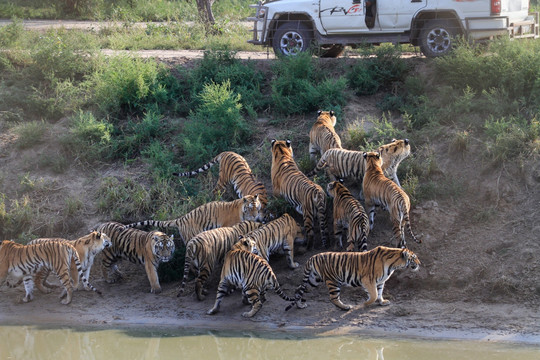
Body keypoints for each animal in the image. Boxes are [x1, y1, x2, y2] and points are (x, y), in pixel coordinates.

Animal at [124, 195, 264, 246]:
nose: (255, 216)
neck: (241, 209)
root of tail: (180, 219)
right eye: (250, 208)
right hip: (191, 235)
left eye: (257, 207)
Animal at [286, 246, 422, 310]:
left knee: (299, 289)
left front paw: (382, 302)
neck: (394, 264)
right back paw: (345, 307)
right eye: (414, 257)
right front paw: (365, 303)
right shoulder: (368, 280)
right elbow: (373, 295)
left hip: (313, 279)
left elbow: (379, 293)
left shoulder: (380, 282)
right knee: (333, 298)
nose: (419, 263)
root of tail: (312, 257)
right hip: (333, 281)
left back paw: (300, 305)